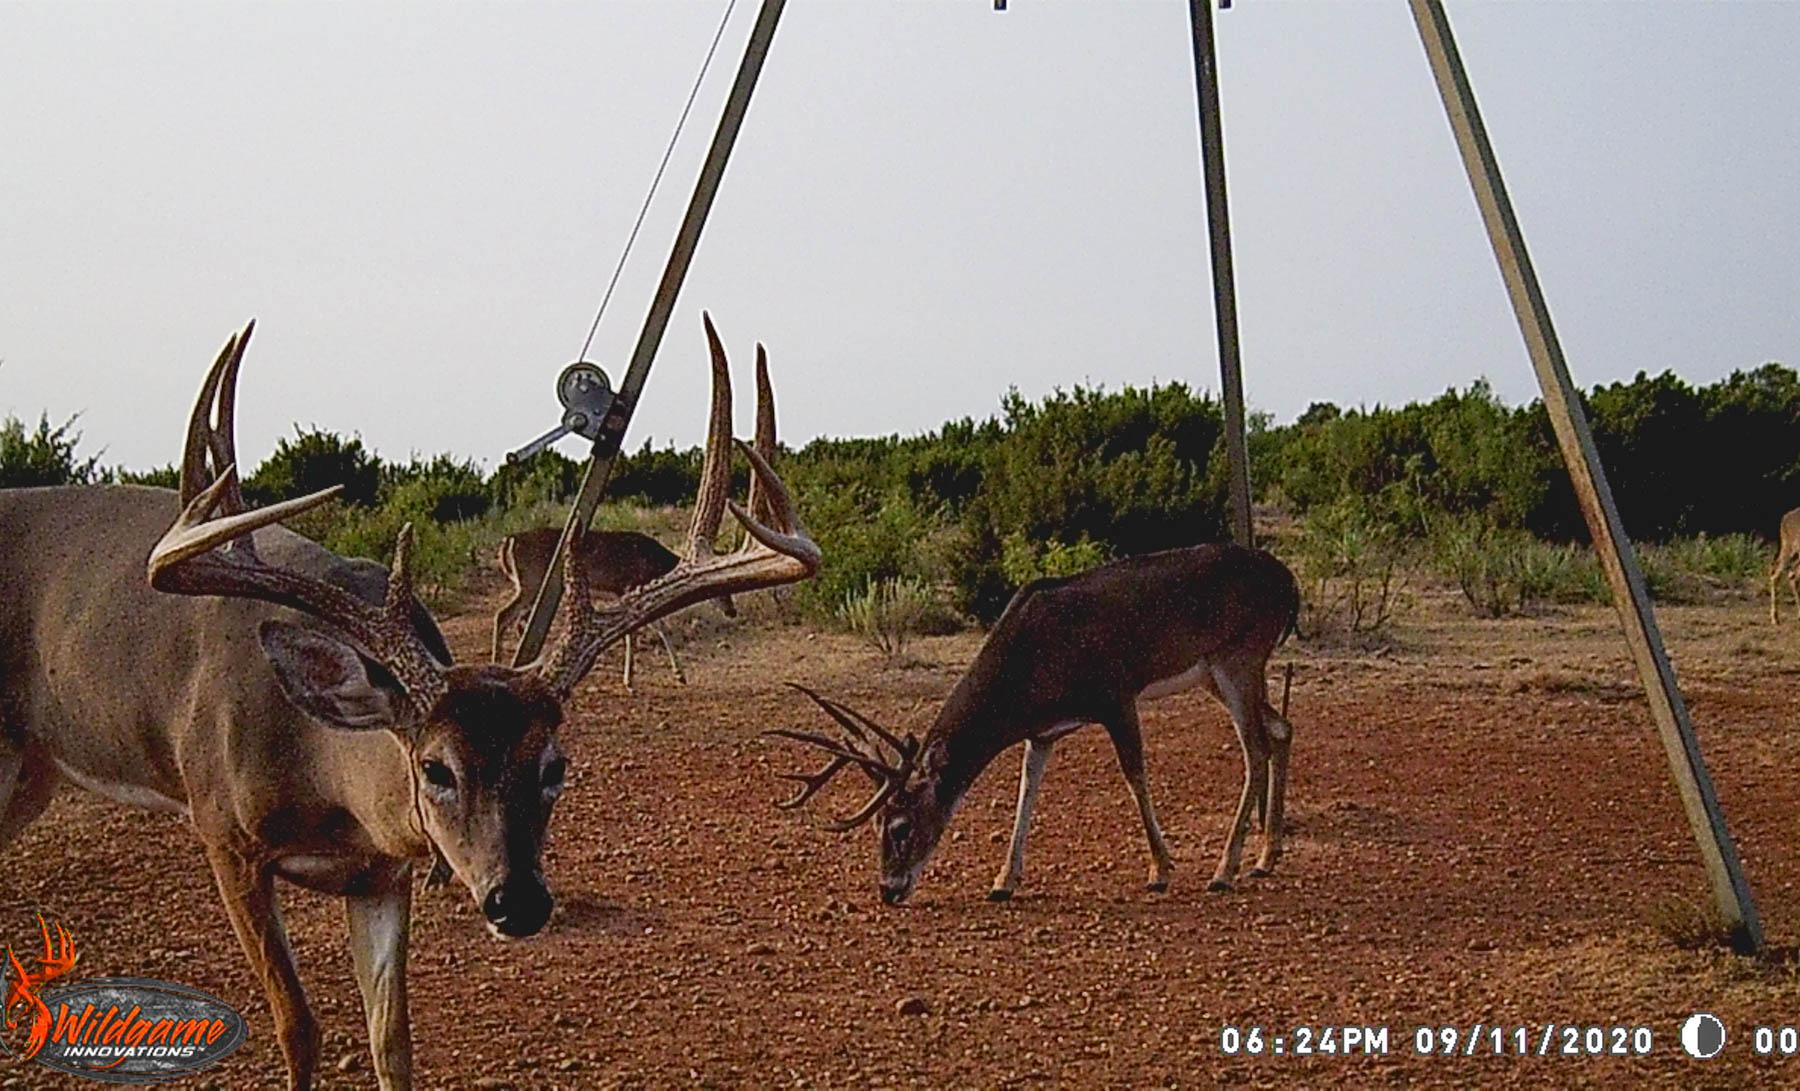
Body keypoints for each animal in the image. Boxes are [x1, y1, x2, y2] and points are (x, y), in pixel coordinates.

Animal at [0, 320, 817, 1087]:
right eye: (435, 768)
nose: (518, 902)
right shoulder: (222, 833)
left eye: (556, 766)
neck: (326, 780)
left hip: (33, 775)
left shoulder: (383, 874)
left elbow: (392, 1040)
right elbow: (298, 1026)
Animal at [766, 547, 1303, 907]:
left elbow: (1134, 775)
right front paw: (1003, 881)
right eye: (878, 824)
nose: (888, 891)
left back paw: (1225, 869)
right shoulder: (1041, 732)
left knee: (1255, 747)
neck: (1030, 664)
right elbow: (1027, 789)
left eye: (900, 826)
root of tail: (1290, 583)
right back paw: (1265, 857)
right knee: (1282, 728)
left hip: (1239, 654)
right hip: (1218, 671)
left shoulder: (1115, 692)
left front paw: (1160, 869)